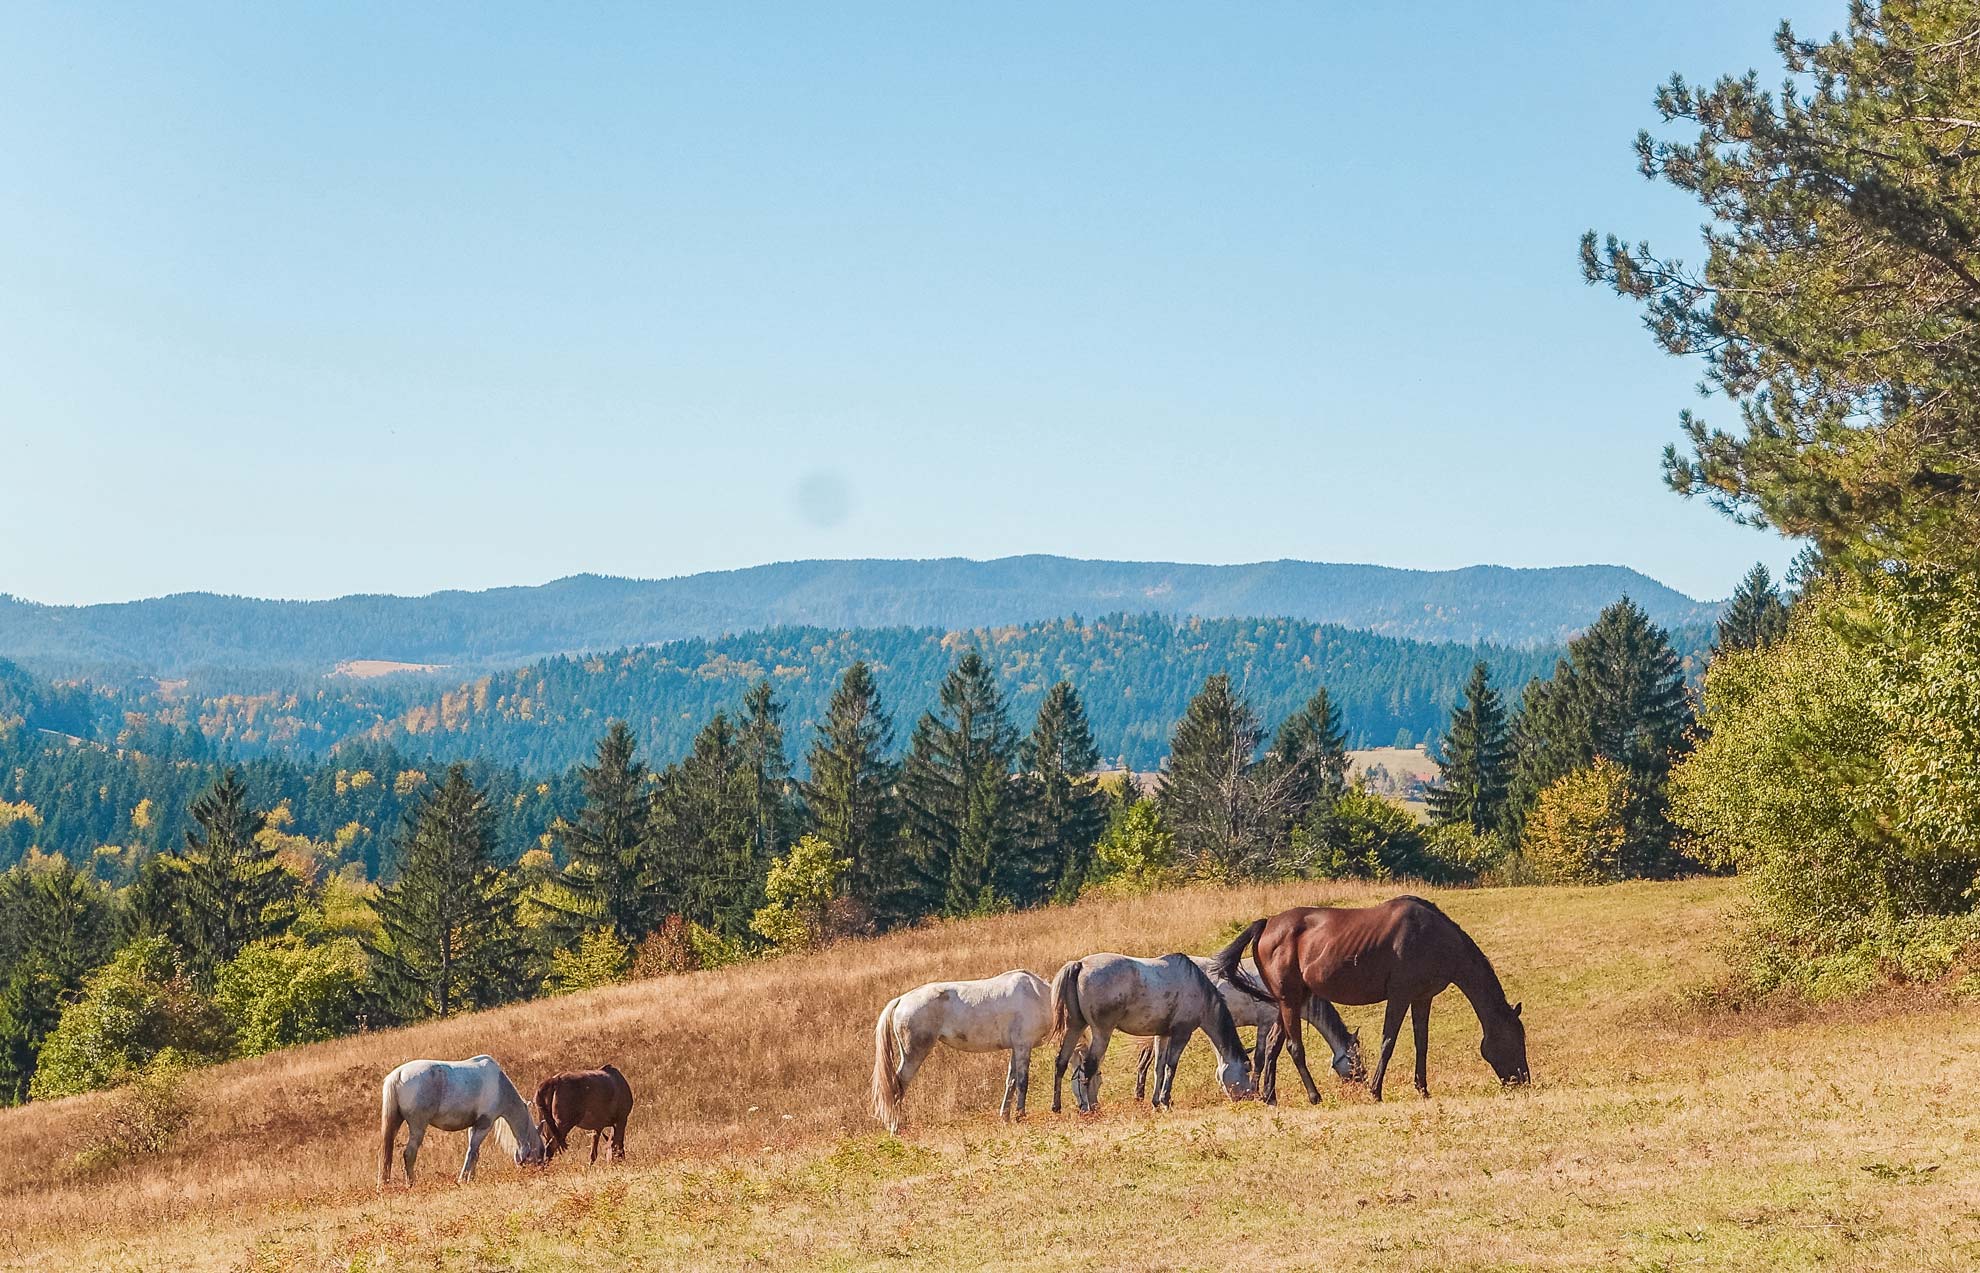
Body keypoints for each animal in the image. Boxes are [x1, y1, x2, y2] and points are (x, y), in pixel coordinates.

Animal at [378, 1053, 546, 1187]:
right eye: (541, 1152)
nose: (541, 1171)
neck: (500, 1086)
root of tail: (398, 1074)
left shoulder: (473, 1127)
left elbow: (475, 1153)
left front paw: (471, 1178)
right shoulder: (484, 1125)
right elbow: (471, 1152)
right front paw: (463, 1179)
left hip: (396, 1122)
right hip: (418, 1126)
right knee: (409, 1153)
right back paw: (411, 1184)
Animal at [867, 970, 1053, 1140]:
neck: (1037, 994)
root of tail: (901, 1000)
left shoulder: (1016, 1048)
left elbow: (1011, 1082)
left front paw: (1005, 1118)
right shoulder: (1023, 1046)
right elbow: (1022, 1083)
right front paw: (1020, 1117)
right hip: (913, 1055)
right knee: (897, 1086)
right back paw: (895, 1129)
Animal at [1203, 894, 1528, 1108]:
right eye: (1516, 1039)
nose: (1523, 1080)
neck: (1433, 937)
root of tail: (1267, 924)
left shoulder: (1422, 998)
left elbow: (1421, 1043)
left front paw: (1422, 1089)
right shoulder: (1399, 996)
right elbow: (1388, 1042)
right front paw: (1375, 1090)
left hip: (1288, 1003)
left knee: (1273, 1045)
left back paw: (1270, 1097)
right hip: (1290, 1000)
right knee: (1295, 1048)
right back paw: (1314, 1096)